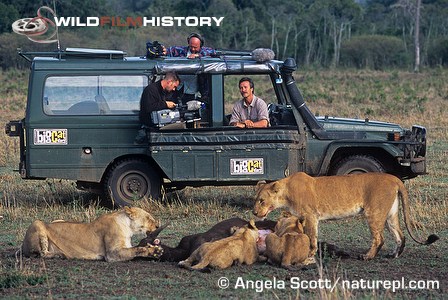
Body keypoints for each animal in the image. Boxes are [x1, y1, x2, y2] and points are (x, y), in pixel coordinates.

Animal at [21, 207, 163, 262]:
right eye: (148, 218)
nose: (157, 226)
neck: (128, 228)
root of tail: (22, 247)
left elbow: (135, 249)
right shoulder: (112, 254)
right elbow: (136, 250)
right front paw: (154, 251)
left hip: (57, 219)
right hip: (37, 223)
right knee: (42, 253)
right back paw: (60, 255)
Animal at [254, 171, 440, 260]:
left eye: (262, 201)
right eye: (256, 199)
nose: (254, 212)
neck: (286, 193)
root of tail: (395, 179)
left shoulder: (310, 216)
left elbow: (311, 237)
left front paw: (310, 254)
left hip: (374, 212)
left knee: (379, 238)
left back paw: (367, 257)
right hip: (390, 215)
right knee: (400, 236)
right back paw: (393, 255)